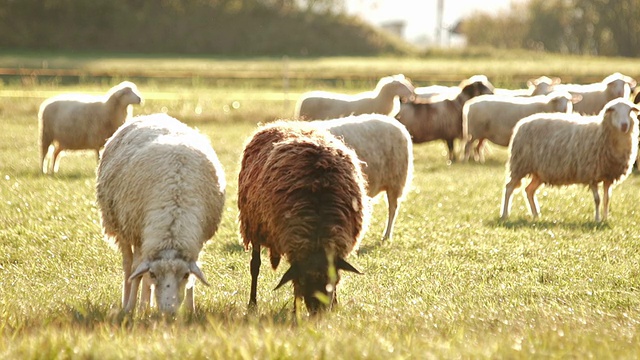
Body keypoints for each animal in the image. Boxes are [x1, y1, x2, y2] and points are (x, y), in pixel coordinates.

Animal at [95, 113, 225, 316]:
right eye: (154, 273)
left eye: (185, 274)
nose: (168, 312)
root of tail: (154, 114)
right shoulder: (139, 235)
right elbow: (139, 275)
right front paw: (132, 308)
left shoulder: (197, 242)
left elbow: (193, 278)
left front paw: (190, 309)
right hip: (121, 227)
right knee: (129, 267)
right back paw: (131, 304)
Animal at [238, 119, 370, 314]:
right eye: (303, 280)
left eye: (334, 279)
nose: (318, 312)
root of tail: (286, 123)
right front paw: (296, 311)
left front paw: (335, 305)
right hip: (253, 225)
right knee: (255, 265)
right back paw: (252, 304)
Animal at [502, 98, 636, 222]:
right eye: (613, 110)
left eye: (629, 111)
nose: (624, 125)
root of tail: (522, 123)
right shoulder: (591, 173)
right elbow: (597, 199)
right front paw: (597, 219)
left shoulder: (608, 175)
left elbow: (607, 199)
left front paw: (605, 218)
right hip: (520, 164)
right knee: (509, 188)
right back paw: (505, 214)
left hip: (539, 172)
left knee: (529, 190)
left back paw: (536, 215)